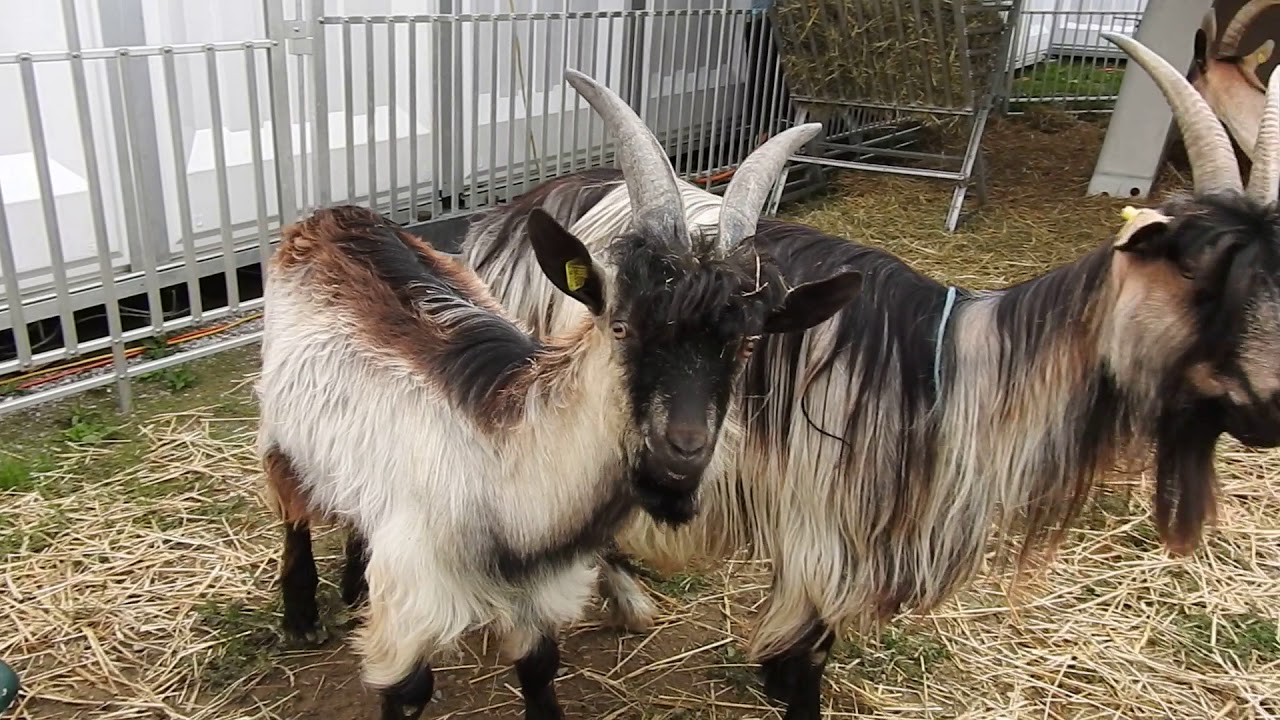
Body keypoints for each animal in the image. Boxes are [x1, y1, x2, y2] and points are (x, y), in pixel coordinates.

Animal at [255, 68, 862, 720]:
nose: (684, 449)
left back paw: (352, 583)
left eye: (749, 344)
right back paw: (302, 616)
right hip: (277, 424)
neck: (506, 489)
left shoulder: (538, 597)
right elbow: (409, 692)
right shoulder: (411, 606)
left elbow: (540, 668)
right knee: (291, 506)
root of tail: (332, 215)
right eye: (619, 326)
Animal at [417, 32, 1280, 720]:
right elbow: (805, 664)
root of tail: (510, 216)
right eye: (1199, 271)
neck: (955, 376)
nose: (1269, 410)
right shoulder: (820, 537)